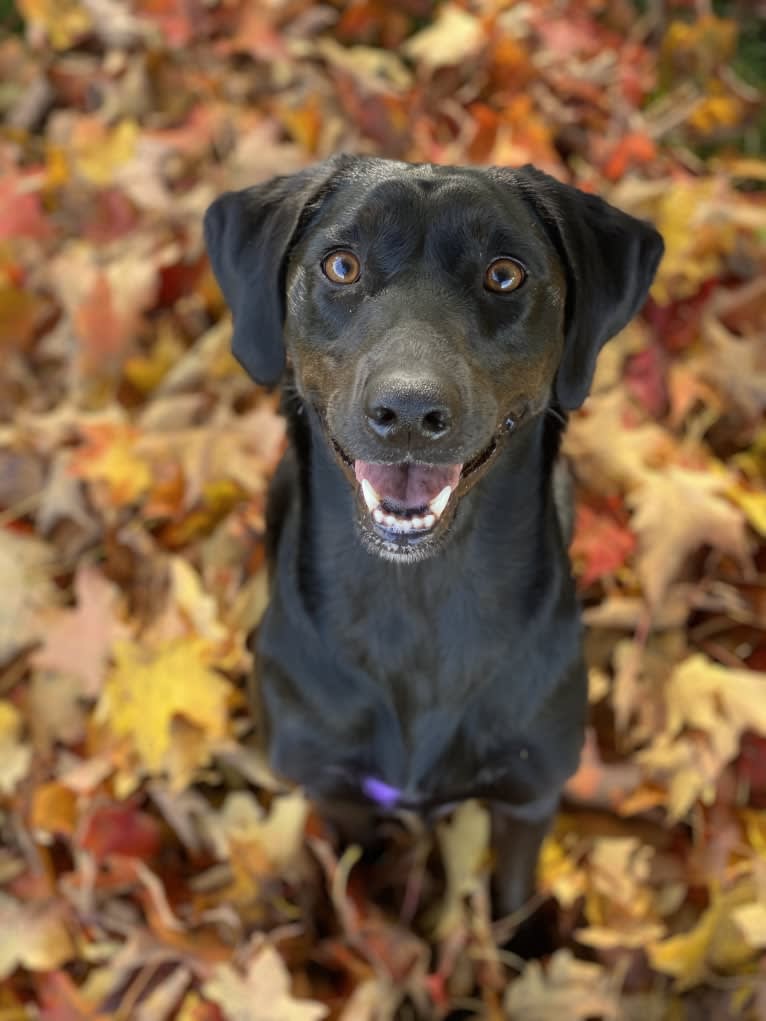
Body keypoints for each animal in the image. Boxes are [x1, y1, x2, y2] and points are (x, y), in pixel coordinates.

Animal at [205, 157, 665, 918]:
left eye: (504, 275)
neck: (417, 597)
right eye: (341, 265)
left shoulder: (529, 795)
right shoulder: (334, 787)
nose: (411, 411)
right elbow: (359, 878)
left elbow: (510, 897)